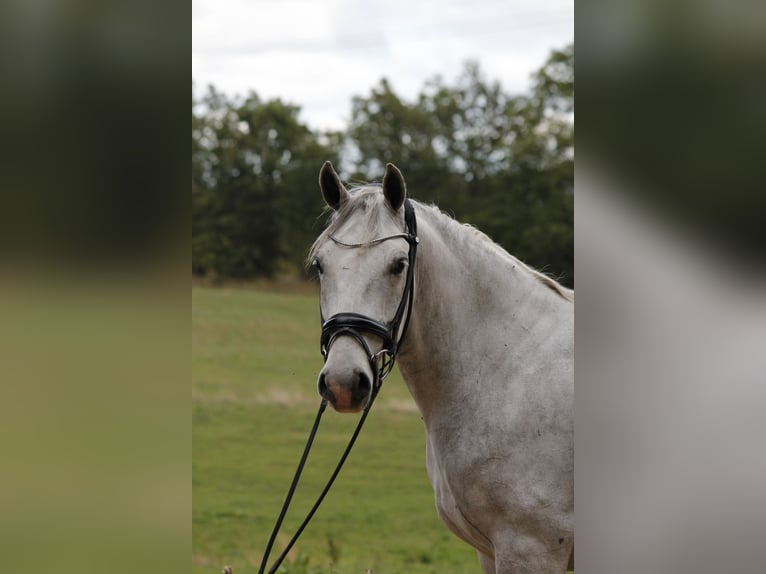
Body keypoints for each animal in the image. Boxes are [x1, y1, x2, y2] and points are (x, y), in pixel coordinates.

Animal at [309, 161, 574, 573]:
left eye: (398, 265)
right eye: (320, 265)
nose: (343, 382)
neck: (507, 372)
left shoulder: (531, 549)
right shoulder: (489, 551)